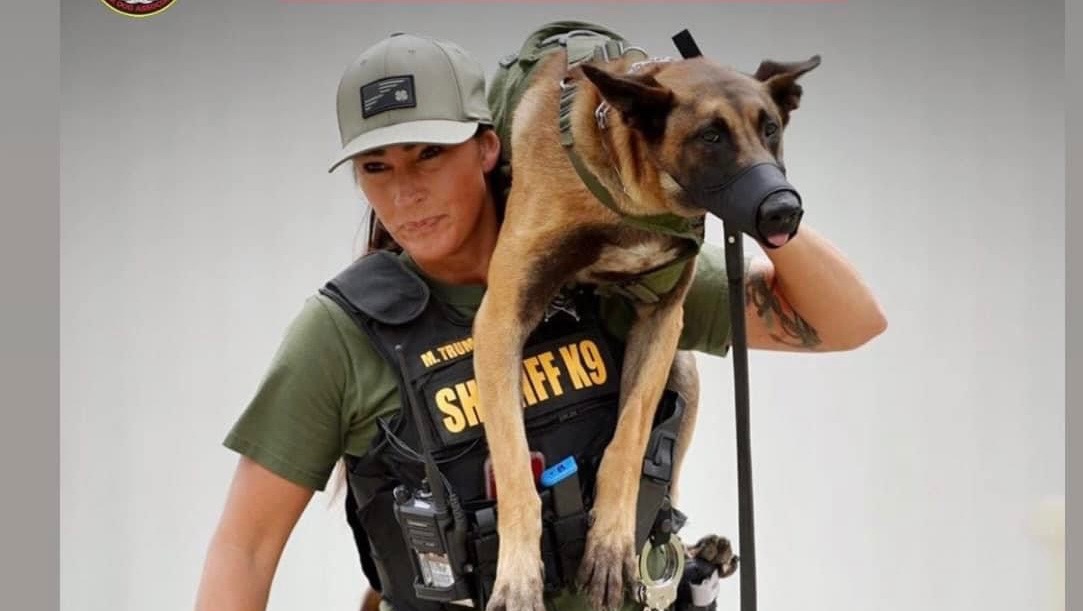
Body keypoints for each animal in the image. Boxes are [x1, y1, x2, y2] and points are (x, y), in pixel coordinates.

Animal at [473, 39, 819, 611]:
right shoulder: (502, 318)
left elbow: (630, 438)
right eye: (711, 136)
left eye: (770, 127)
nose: (783, 210)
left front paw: (611, 544)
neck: (634, 194)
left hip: (683, 370)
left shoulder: (661, 320)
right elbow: (515, 465)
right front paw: (517, 576)